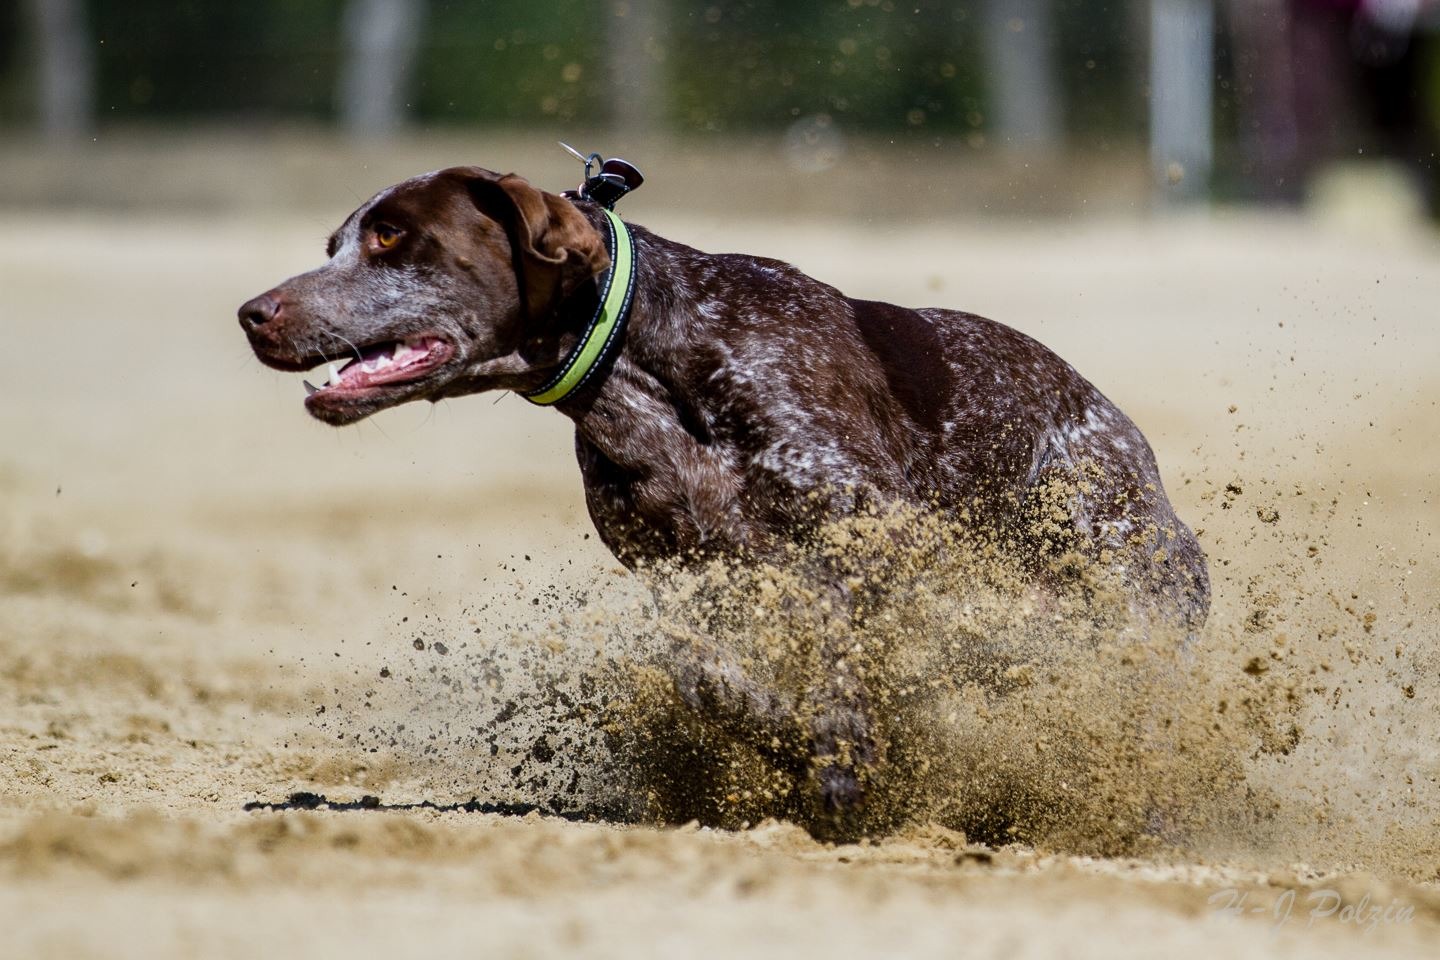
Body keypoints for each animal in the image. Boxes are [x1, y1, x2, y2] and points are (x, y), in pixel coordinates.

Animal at [236, 165, 1203, 811]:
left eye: (393, 237)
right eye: (335, 244)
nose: (254, 314)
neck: (643, 363)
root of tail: (1118, 429)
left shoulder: (878, 541)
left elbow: (847, 651)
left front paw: (840, 756)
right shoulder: (690, 577)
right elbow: (705, 675)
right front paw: (779, 729)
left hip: (1118, 583)